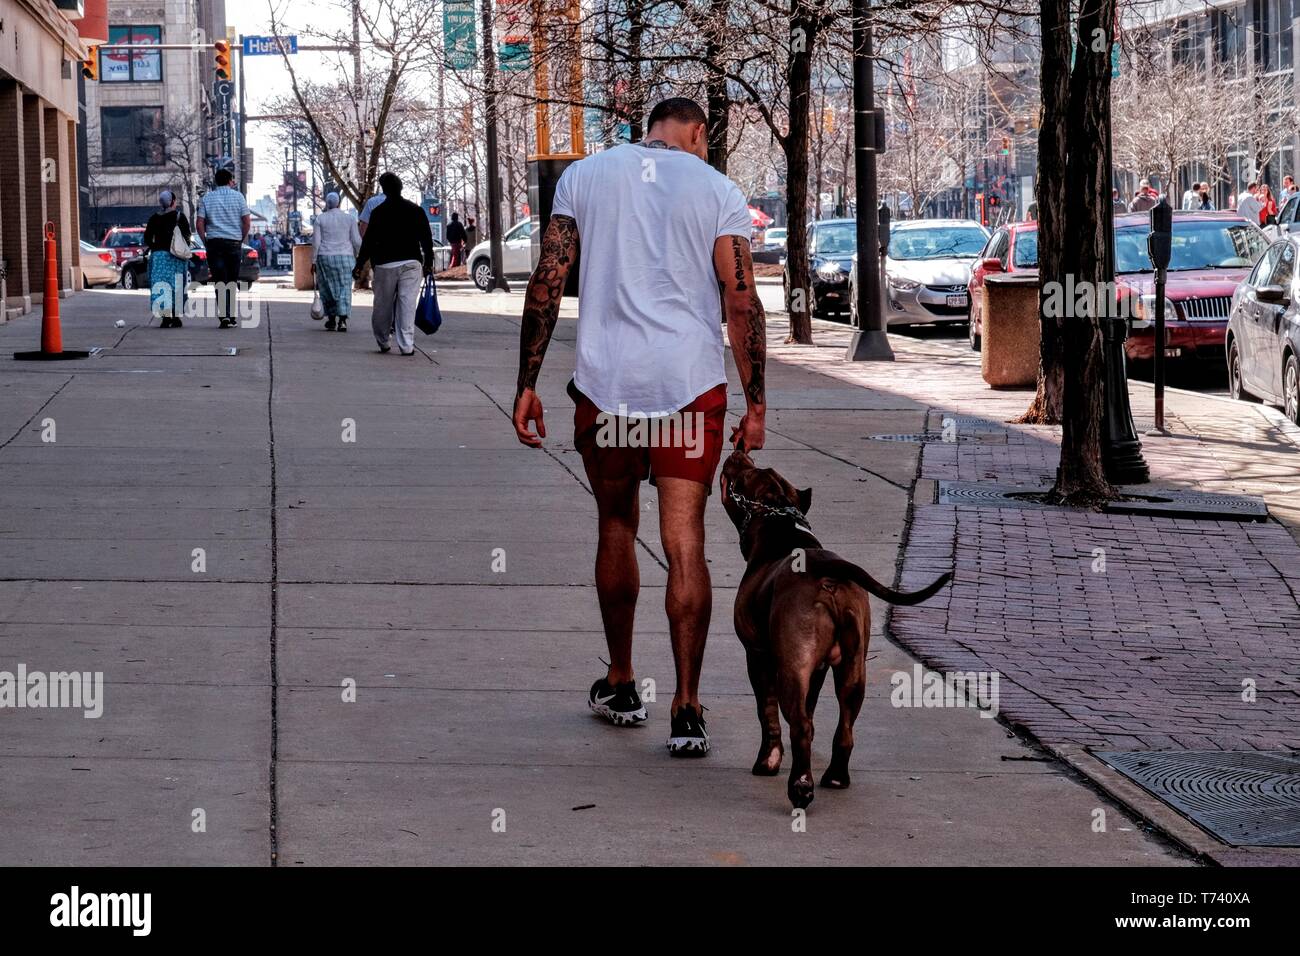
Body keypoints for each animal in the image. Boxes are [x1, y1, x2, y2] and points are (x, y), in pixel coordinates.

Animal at [717, 452, 951, 811]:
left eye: (748, 473)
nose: (739, 453)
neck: (782, 527)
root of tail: (827, 573)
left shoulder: (757, 656)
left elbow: (767, 712)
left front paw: (768, 761)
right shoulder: (817, 668)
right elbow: (811, 709)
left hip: (792, 668)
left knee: (800, 725)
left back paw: (800, 787)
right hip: (852, 669)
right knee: (844, 725)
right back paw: (836, 776)